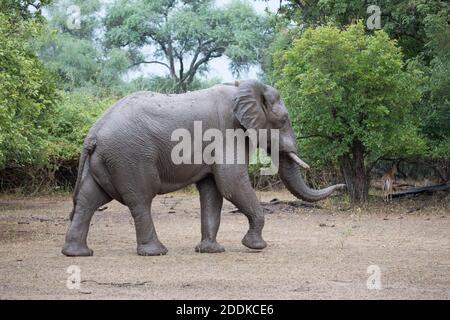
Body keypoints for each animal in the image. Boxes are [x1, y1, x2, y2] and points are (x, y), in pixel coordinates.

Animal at [62, 80, 344, 258]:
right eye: (284, 120)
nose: (342, 185)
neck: (244, 86)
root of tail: (93, 134)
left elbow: (213, 191)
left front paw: (211, 251)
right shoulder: (227, 132)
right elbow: (232, 183)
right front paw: (256, 246)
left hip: (106, 161)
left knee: (90, 199)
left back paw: (78, 253)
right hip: (130, 157)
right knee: (140, 200)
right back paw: (156, 252)